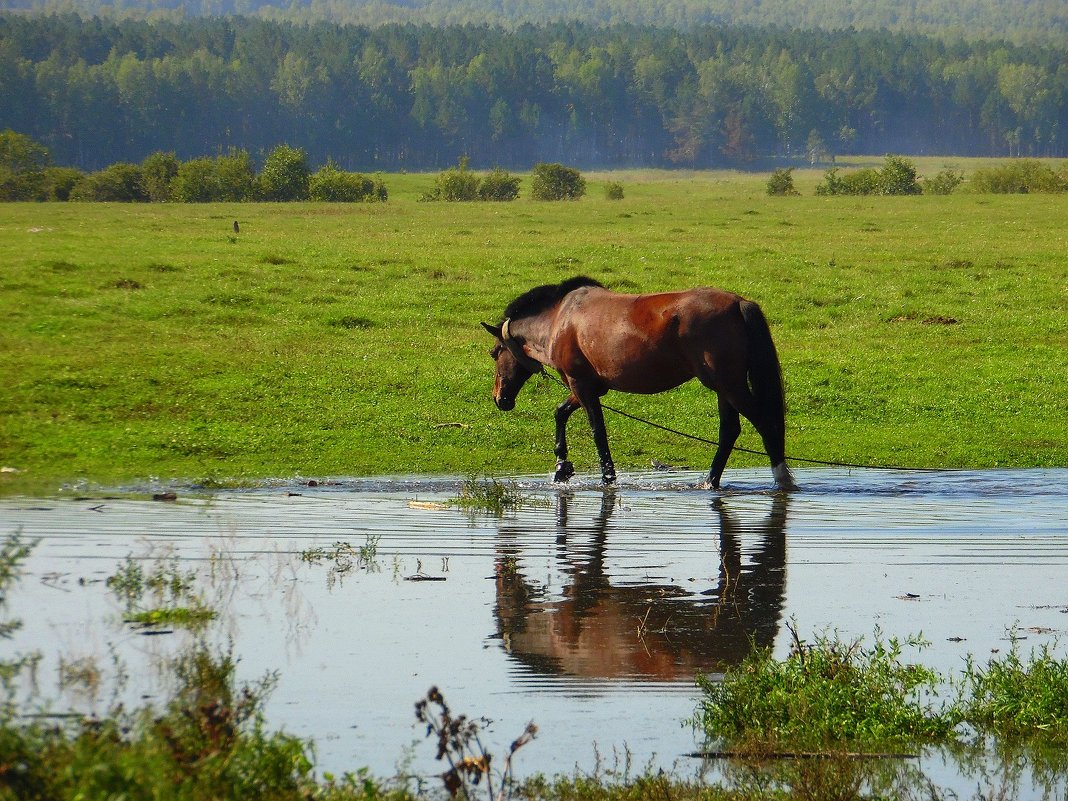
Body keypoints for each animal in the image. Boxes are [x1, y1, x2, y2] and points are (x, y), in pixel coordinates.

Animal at [482, 275, 794, 489]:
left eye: (495, 353)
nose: (500, 398)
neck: (559, 318)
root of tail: (739, 303)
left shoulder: (580, 385)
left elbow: (598, 431)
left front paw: (607, 477)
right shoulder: (590, 386)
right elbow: (561, 412)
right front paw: (562, 466)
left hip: (729, 385)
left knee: (764, 422)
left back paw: (781, 478)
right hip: (723, 388)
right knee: (729, 430)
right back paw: (710, 481)